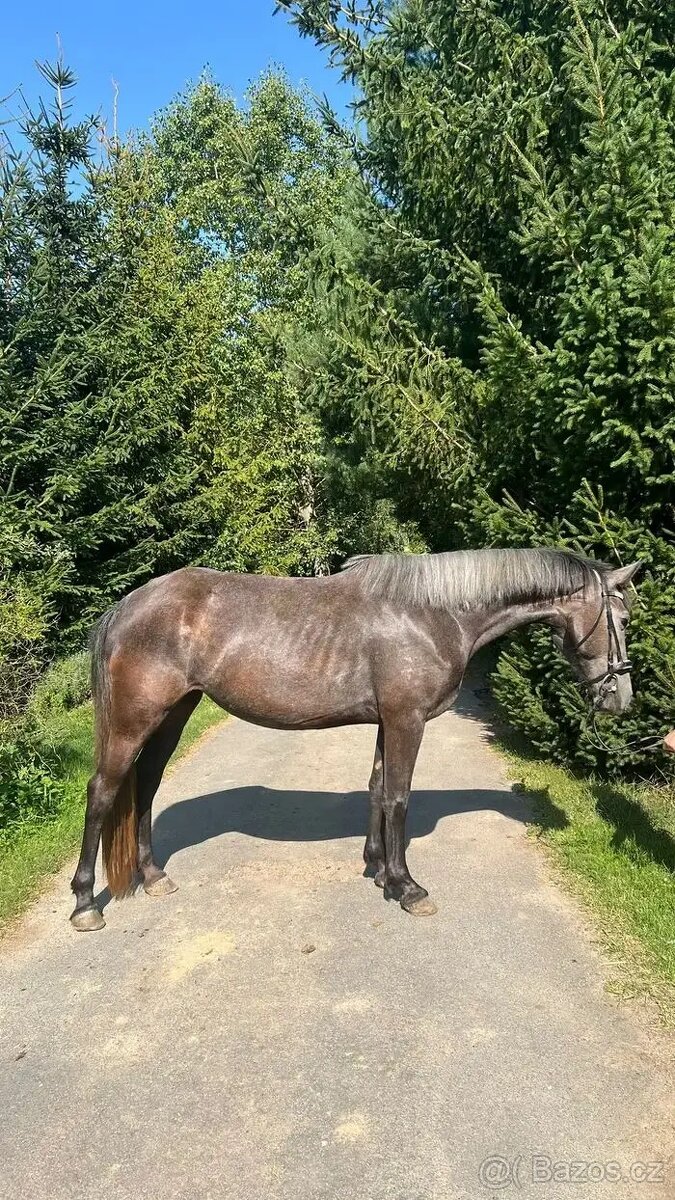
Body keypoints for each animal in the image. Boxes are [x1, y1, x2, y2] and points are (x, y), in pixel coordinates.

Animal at [70, 547, 640, 930]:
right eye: (623, 618)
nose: (621, 699)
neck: (433, 613)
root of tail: (126, 606)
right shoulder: (408, 719)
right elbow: (399, 796)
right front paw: (408, 887)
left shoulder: (389, 721)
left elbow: (378, 789)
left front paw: (379, 870)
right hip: (135, 721)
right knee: (104, 792)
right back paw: (84, 904)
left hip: (174, 713)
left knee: (146, 785)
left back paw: (153, 876)